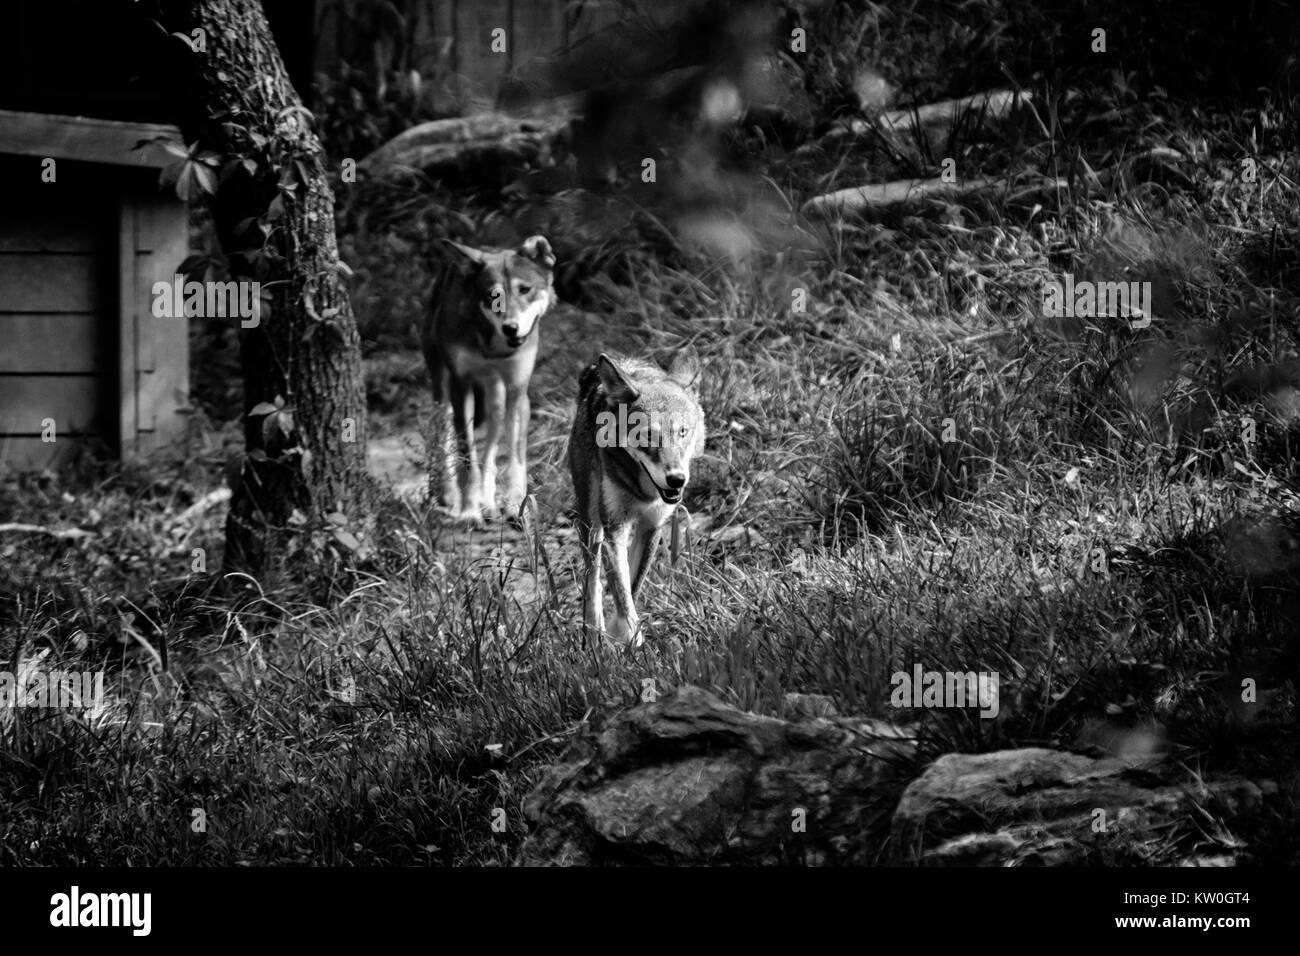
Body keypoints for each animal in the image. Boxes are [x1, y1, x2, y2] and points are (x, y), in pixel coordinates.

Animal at [421, 235, 556, 524]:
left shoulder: (517, 388)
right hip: (443, 390)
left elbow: (514, 459)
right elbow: (468, 459)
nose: (511, 328)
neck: (493, 349)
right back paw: (448, 493)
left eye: (525, 289)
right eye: (493, 295)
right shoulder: (461, 386)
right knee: (443, 437)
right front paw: (469, 511)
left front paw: (516, 504)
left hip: (498, 399)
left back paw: (488, 502)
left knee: (491, 452)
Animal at [568, 347, 705, 645]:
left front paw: (622, 637)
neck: (643, 491)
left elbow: (632, 586)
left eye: (683, 431)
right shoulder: (614, 529)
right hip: (591, 524)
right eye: (648, 435)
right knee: (592, 580)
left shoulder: (652, 527)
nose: (676, 479)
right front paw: (630, 638)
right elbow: (621, 592)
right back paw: (592, 636)